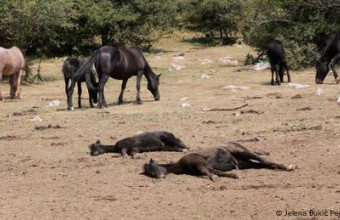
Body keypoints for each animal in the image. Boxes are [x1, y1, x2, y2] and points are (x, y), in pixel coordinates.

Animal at [142, 142, 296, 181]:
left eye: (153, 167)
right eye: (149, 172)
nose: (159, 177)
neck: (181, 165)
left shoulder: (199, 162)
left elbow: (208, 171)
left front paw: (214, 178)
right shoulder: (202, 167)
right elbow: (215, 171)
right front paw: (234, 175)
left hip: (243, 152)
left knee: (263, 159)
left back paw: (288, 166)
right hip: (246, 163)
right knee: (263, 164)